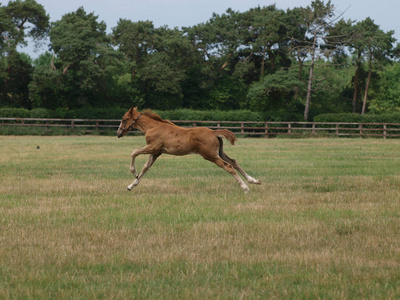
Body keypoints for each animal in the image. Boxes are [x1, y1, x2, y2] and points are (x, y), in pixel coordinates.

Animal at [116, 107, 260, 192]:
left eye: (124, 119)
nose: (118, 133)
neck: (153, 127)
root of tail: (213, 132)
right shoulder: (157, 152)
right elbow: (146, 168)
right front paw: (131, 185)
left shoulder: (153, 147)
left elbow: (134, 152)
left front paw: (133, 172)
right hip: (219, 152)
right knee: (234, 162)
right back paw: (253, 180)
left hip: (210, 155)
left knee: (228, 166)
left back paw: (245, 187)